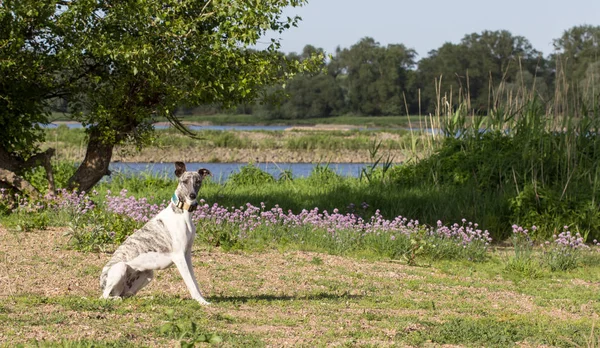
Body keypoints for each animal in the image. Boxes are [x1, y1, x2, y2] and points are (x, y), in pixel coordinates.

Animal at [98, 162, 211, 304]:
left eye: (198, 181)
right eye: (184, 181)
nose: (192, 196)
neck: (182, 213)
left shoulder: (187, 254)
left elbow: (194, 281)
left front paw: (201, 298)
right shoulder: (179, 256)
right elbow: (190, 282)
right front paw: (201, 301)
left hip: (148, 274)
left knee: (127, 294)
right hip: (120, 268)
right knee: (105, 296)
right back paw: (115, 298)